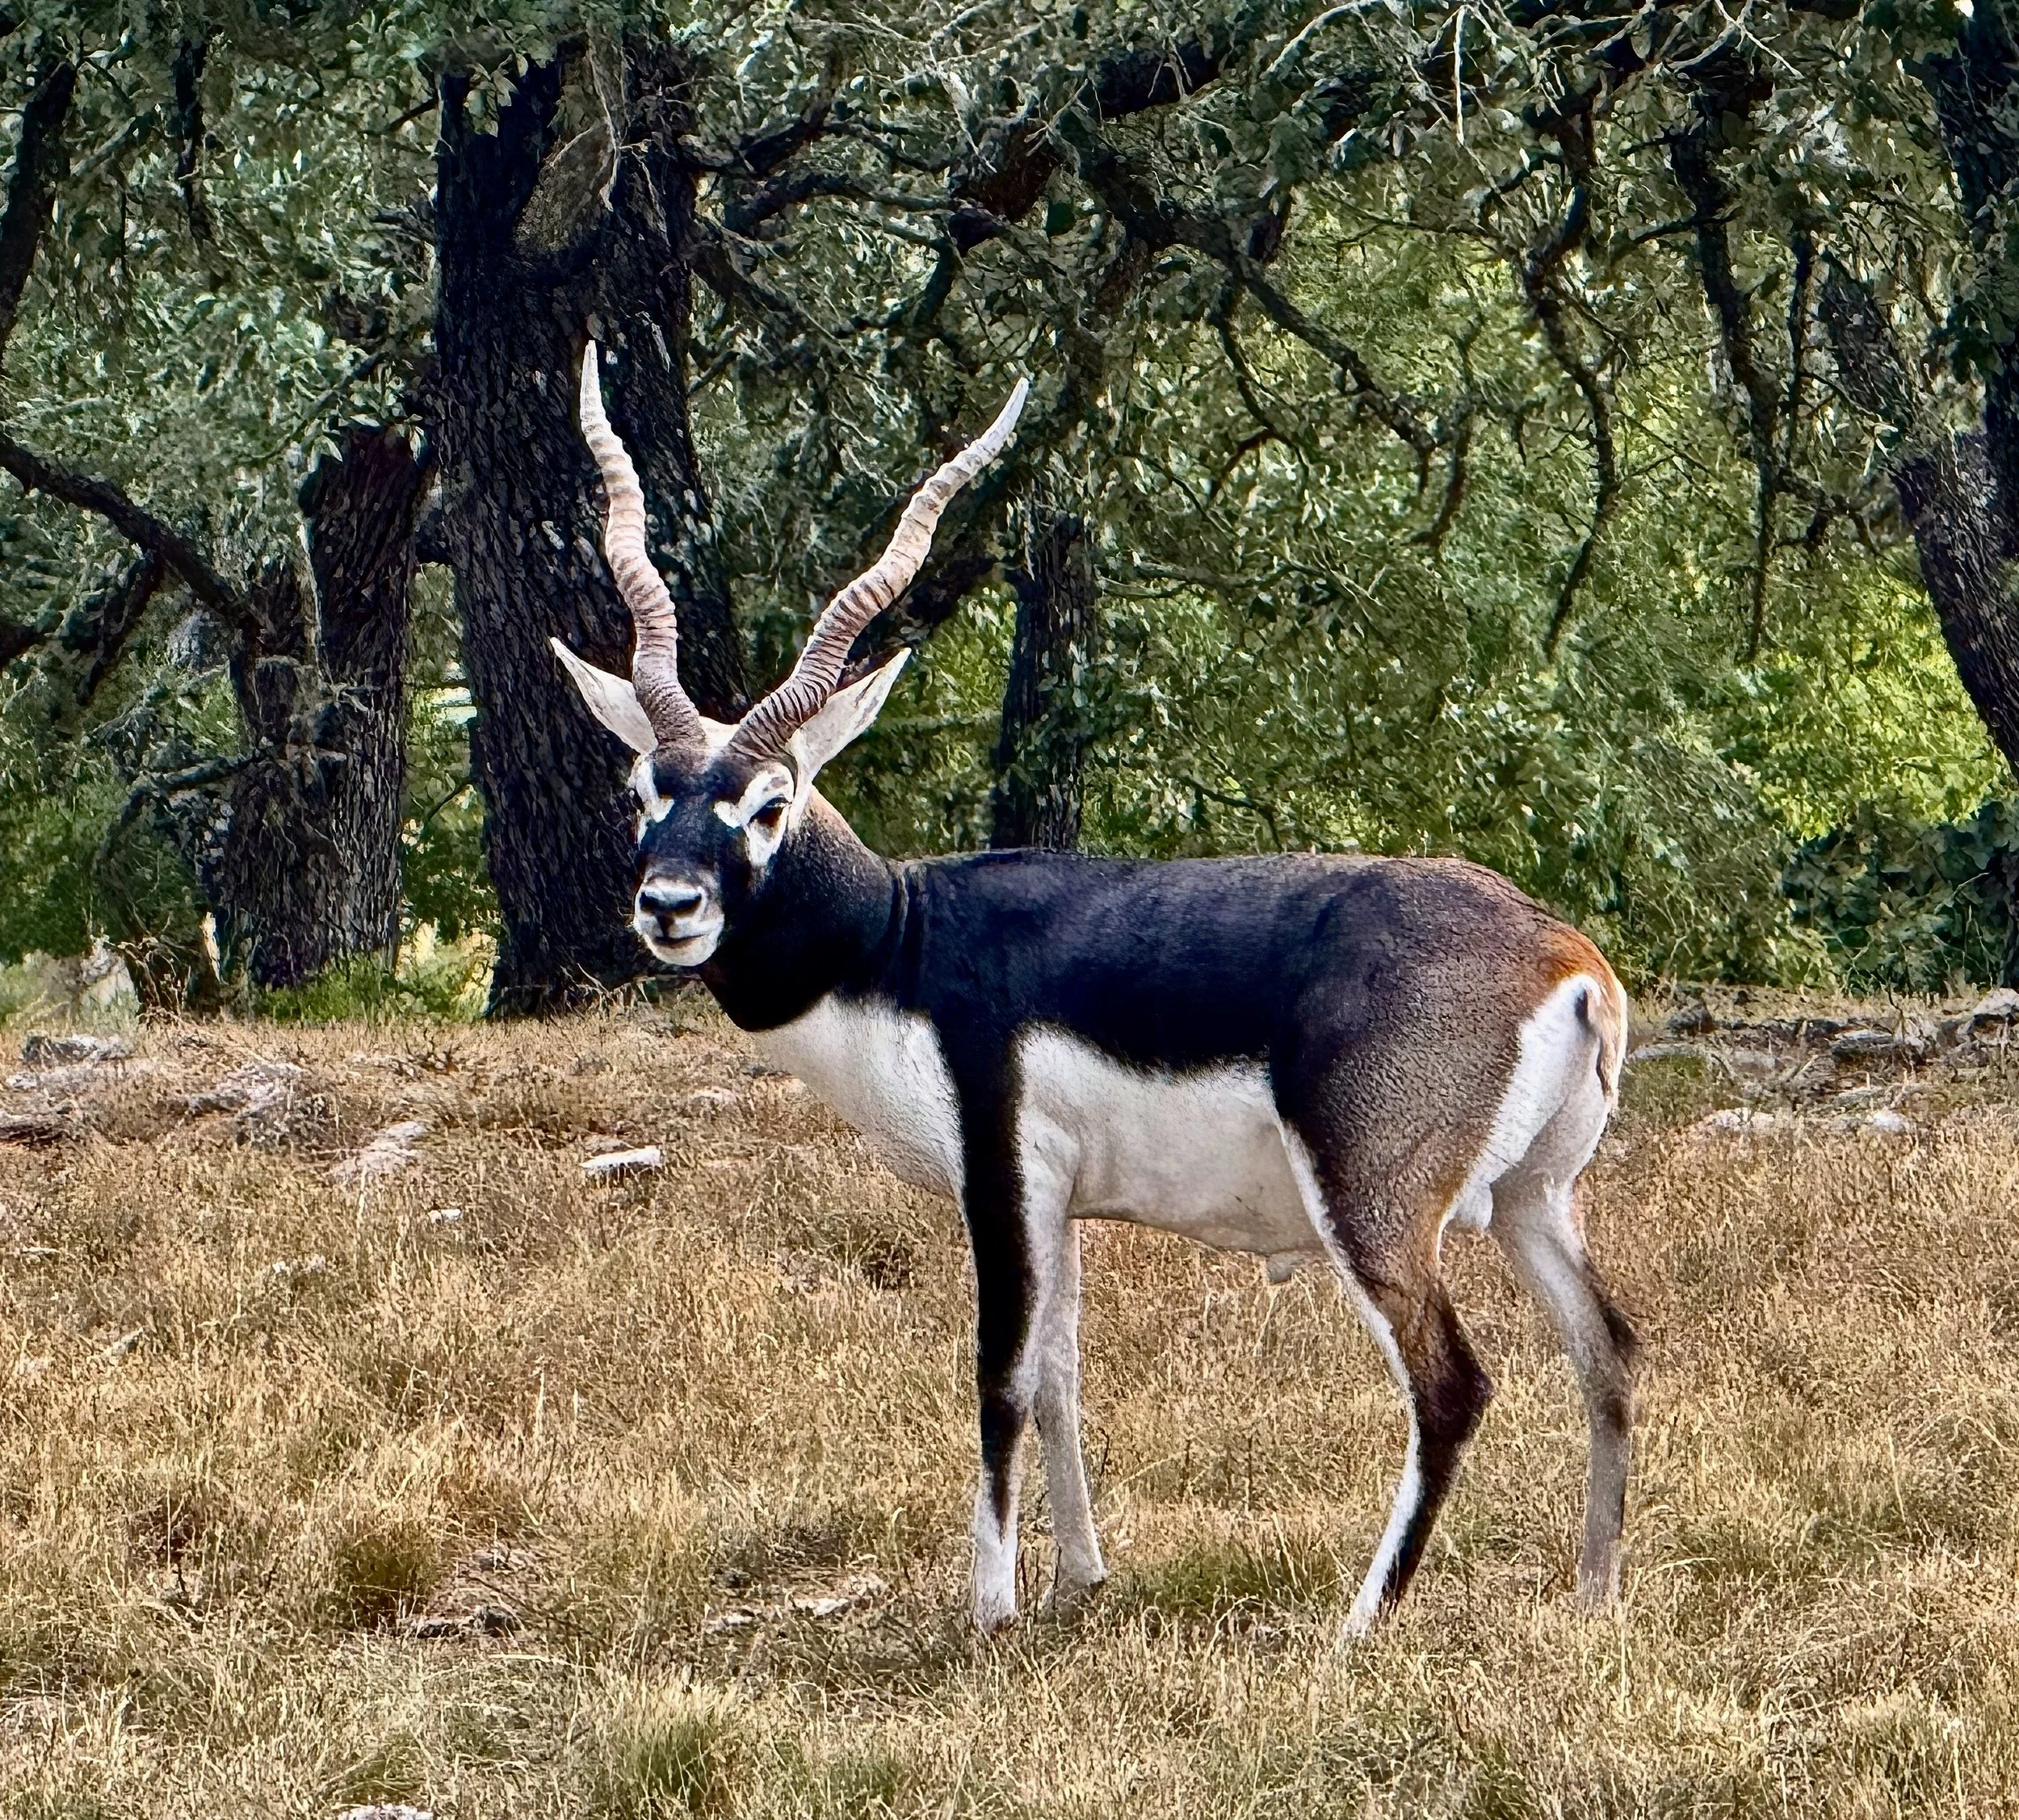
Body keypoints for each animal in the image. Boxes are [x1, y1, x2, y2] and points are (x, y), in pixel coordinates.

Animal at [553, 345, 1638, 1637]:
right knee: (1611, 1352)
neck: (902, 943)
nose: (669, 904)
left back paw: (1357, 1624)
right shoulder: (1060, 1202)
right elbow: (1064, 1370)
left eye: (770, 801)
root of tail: (1566, 960)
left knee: (1454, 1384)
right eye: (641, 789)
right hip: (1535, 1199)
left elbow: (1002, 1371)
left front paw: (988, 1607)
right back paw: (1593, 1597)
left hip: (1375, 1211)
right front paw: (1080, 1575)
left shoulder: (1000, 1177)